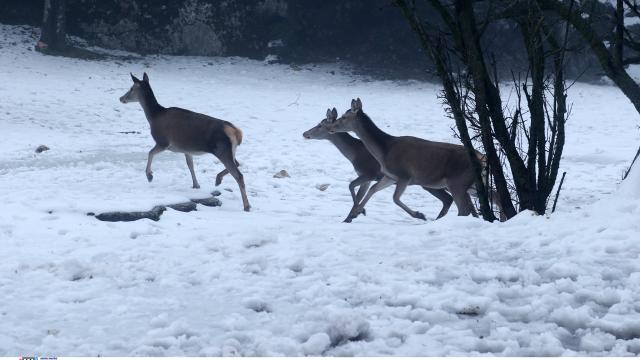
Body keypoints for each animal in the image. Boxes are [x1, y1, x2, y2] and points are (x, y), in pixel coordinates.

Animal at [119, 73, 251, 212]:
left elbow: (150, 153)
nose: (121, 98)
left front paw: (149, 176)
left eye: (131, 88)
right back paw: (218, 179)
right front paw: (196, 185)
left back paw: (246, 206)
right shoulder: (187, 149)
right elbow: (190, 165)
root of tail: (237, 132)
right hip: (230, 150)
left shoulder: (163, 142)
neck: (154, 116)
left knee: (238, 175)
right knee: (238, 163)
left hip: (221, 150)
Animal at [302, 107, 452, 221]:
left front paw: (357, 213)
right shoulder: (367, 178)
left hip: (428, 182)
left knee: (448, 199)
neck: (354, 155)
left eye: (320, 125)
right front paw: (350, 217)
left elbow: (351, 186)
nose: (304, 133)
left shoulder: (369, 173)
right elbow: (359, 194)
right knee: (448, 199)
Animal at [324, 97, 484, 222]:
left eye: (344, 117)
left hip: (457, 182)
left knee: (464, 209)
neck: (384, 152)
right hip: (467, 185)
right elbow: (373, 189)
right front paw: (357, 212)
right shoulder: (390, 176)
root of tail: (481, 160)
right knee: (470, 209)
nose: (330, 127)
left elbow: (395, 198)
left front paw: (419, 214)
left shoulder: (404, 175)